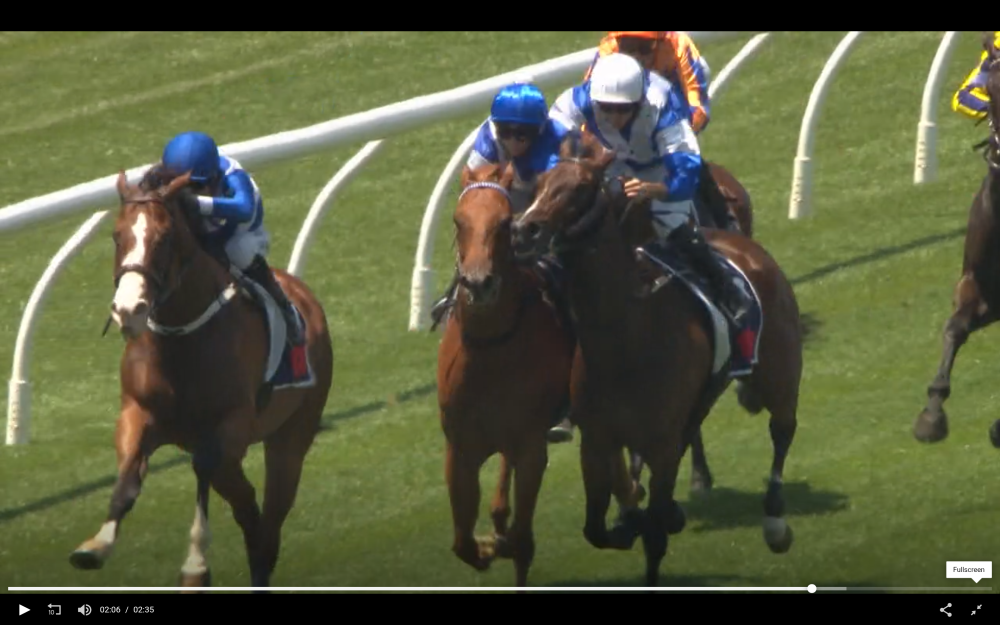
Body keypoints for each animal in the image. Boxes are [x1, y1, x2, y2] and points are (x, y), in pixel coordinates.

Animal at [69, 168, 334, 591]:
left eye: (163, 239)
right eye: (116, 235)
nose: (128, 310)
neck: (181, 337)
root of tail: (305, 295)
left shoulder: (229, 426)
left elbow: (205, 469)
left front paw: (195, 563)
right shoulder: (136, 412)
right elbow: (127, 478)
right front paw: (96, 545)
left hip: (291, 437)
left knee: (267, 513)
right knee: (249, 508)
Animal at [510, 130, 803, 587]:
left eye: (580, 188)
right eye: (539, 184)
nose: (525, 229)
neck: (624, 338)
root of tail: (742, 244)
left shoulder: (662, 442)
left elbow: (654, 537)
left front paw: (655, 521)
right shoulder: (598, 439)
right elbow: (597, 528)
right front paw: (634, 518)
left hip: (780, 371)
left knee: (783, 429)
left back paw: (775, 522)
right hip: (700, 400)